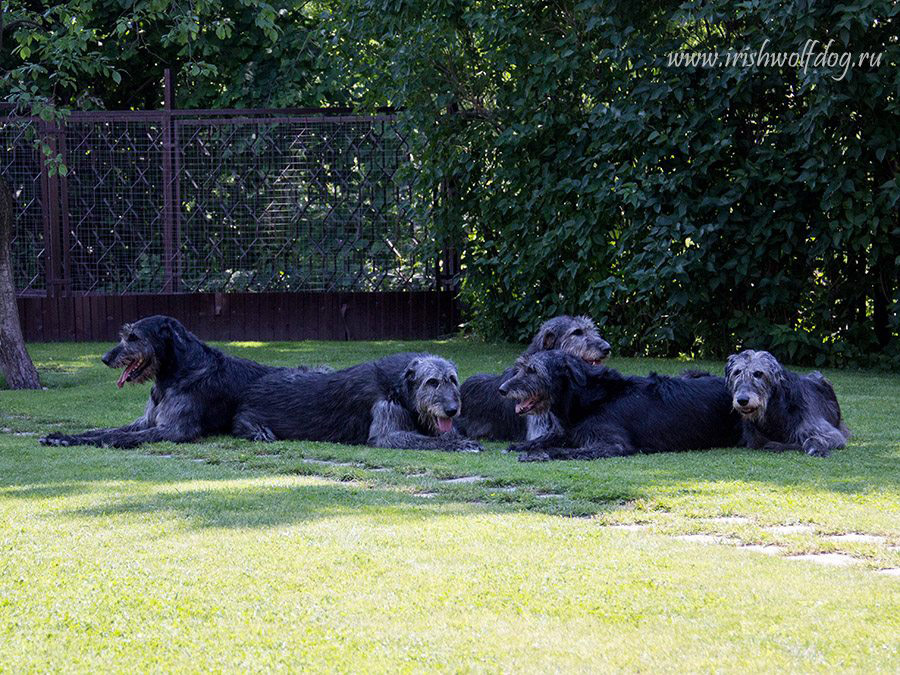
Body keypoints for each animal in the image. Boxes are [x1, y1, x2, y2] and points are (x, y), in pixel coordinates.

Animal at [40, 316, 298, 448]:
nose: (105, 358)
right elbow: (105, 429)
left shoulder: (176, 429)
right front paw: (63, 437)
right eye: (125, 335)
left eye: (134, 337)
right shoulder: (145, 421)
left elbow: (115, 436)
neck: (175, 375)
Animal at [234, 354, 486, 454]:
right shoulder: (384, 411)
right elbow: (406, 439)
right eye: (432, 382)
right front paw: (460, 444)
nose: (452, 410)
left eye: (452, 380)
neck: (399, 386)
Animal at [500, 352, 740, 462]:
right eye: (522, 367)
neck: (586, 398)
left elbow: (566, 450)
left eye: (533, 371)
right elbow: (548, 439)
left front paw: (538, 453)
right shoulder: (567, 431)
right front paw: (522, 445)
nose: (502, 390)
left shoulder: (612, 444)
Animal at [724, 352, 852, 456]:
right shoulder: (754, 438)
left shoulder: (826, 430)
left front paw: (816, 449)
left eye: (758, 373)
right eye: (737, 372)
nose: (742, 400)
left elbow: (817, 437)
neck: (773, 409)